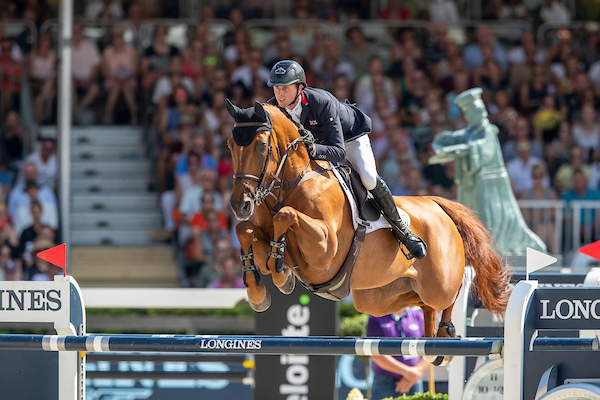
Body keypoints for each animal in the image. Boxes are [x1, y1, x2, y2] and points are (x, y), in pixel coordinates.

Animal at [225, 100, 512, 361]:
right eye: (230, 146)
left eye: (262, 146)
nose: (240, 205)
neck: (294, 180)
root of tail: (437, 204)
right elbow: (245, 230)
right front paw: (260, 289)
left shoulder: (325, 250)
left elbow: (286, 215)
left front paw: (280, 271)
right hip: (377, 297)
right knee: (421, 304)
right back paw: (436, 341)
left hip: (439, 283)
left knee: (449, 295)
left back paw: (446, 331)